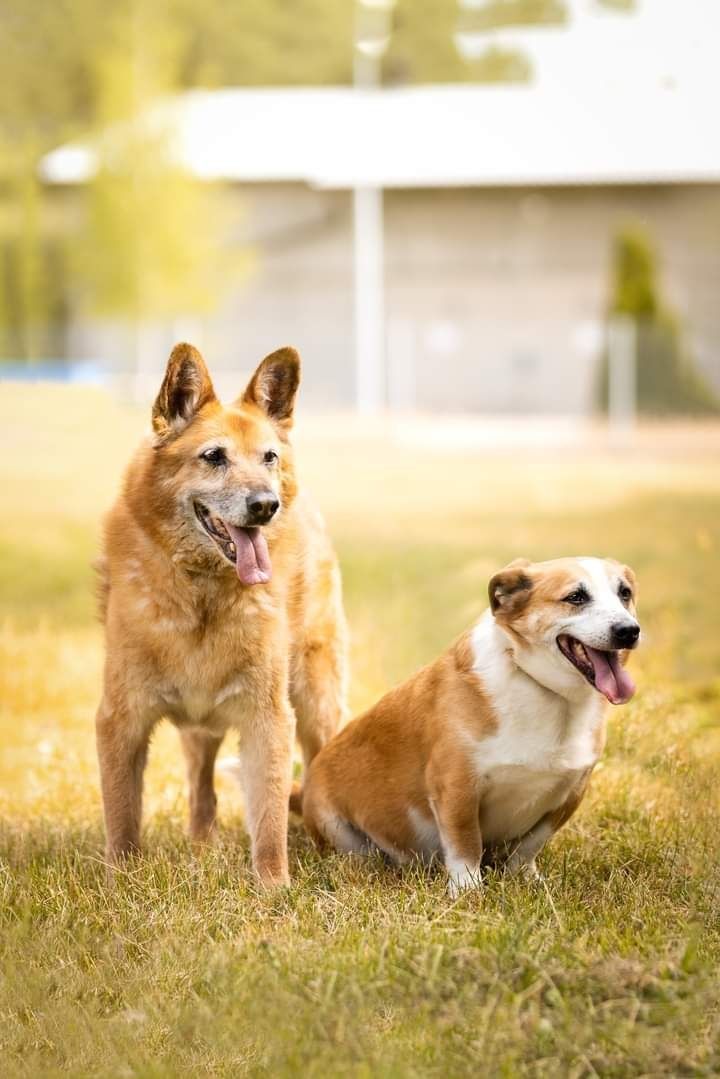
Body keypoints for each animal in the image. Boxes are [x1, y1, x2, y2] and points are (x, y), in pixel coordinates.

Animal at [95, 343, 349, 884]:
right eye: (214, 457)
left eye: (268, 457)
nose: (266, 505)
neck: (202, 590)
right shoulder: (121, 720)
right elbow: (122, 818)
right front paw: (120, 883)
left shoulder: (268, 719)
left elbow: (270, 821)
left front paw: (274, 887)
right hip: (199, 730)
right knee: (202, 790)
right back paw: (201, 844)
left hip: (317, 703)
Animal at [302, 556, 639, 893]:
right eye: (576, 597)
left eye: (625, 593)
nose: (629, 631)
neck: (543, 688)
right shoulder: (456, 785)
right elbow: (466, 843)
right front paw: (468, 890)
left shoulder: (569, 794)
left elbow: (530, 846)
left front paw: (525, 877)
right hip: (338, 829)